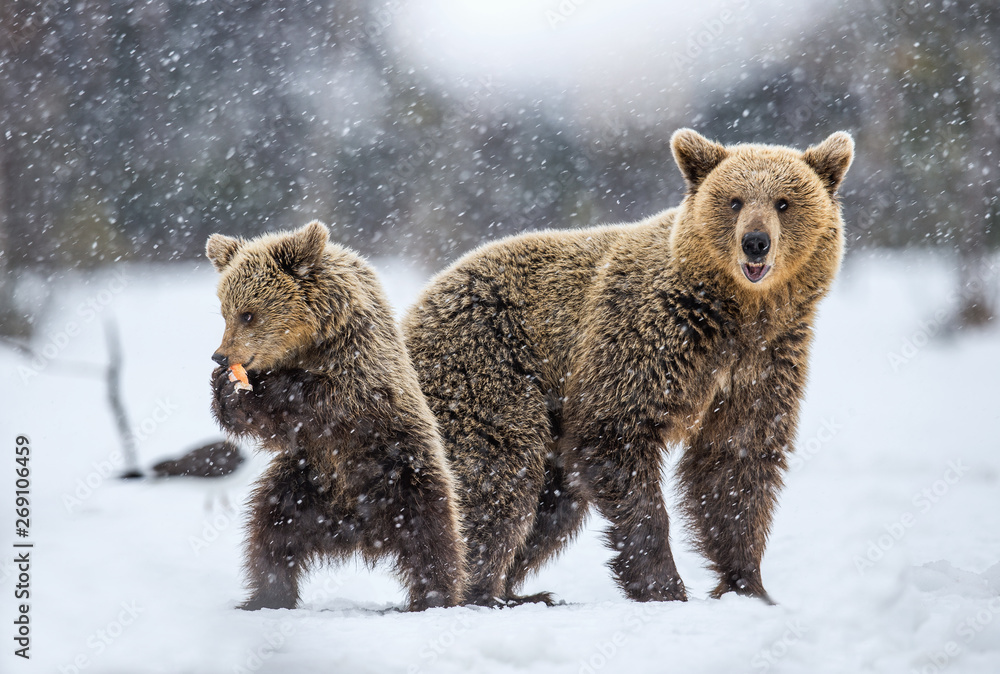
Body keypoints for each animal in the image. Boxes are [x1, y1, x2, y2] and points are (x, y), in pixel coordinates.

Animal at [206, 221, 467, 611]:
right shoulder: (307, 443)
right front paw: (226, 391)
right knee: (270, 531)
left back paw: (434, 596)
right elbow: (274, 428)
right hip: (302, 485)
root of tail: (357, 528)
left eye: (248, 313)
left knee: (433, 540)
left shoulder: (360, 366)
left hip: (405, 476)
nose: (220, 356)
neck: (312, 340)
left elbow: (324, 398)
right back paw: (266, 595)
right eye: (224, 311)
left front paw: (258, 389)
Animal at [402, 129, 854, 606]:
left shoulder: (763, 364)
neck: (736, 316)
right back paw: (476, 590)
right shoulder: (648, 340)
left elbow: (735, 462)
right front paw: (665, 584)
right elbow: (619, 437)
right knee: (496, 472)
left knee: (552, 503)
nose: (755, 241)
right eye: (733, 200)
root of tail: (414, 309)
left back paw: (517, 591)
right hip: (487, 364)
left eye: (784, 202)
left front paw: (748, 584)